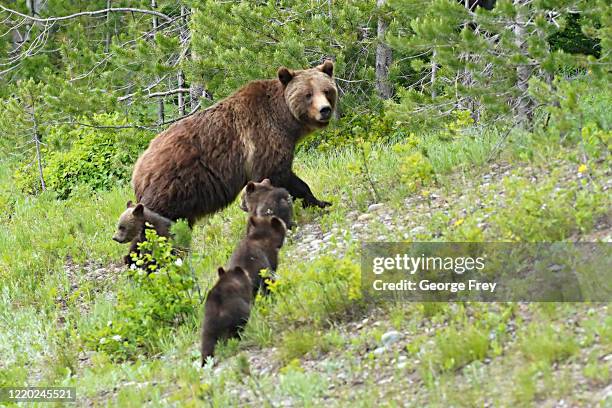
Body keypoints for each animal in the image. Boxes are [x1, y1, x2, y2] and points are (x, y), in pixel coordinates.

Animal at [131, 60, 338, 226]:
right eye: (308, 94)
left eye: (327, 90)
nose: (325, 110)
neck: (286, 121)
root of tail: (138, 168)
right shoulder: (263, 138)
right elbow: (277, 175)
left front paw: (322, 202)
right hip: (174, 185)